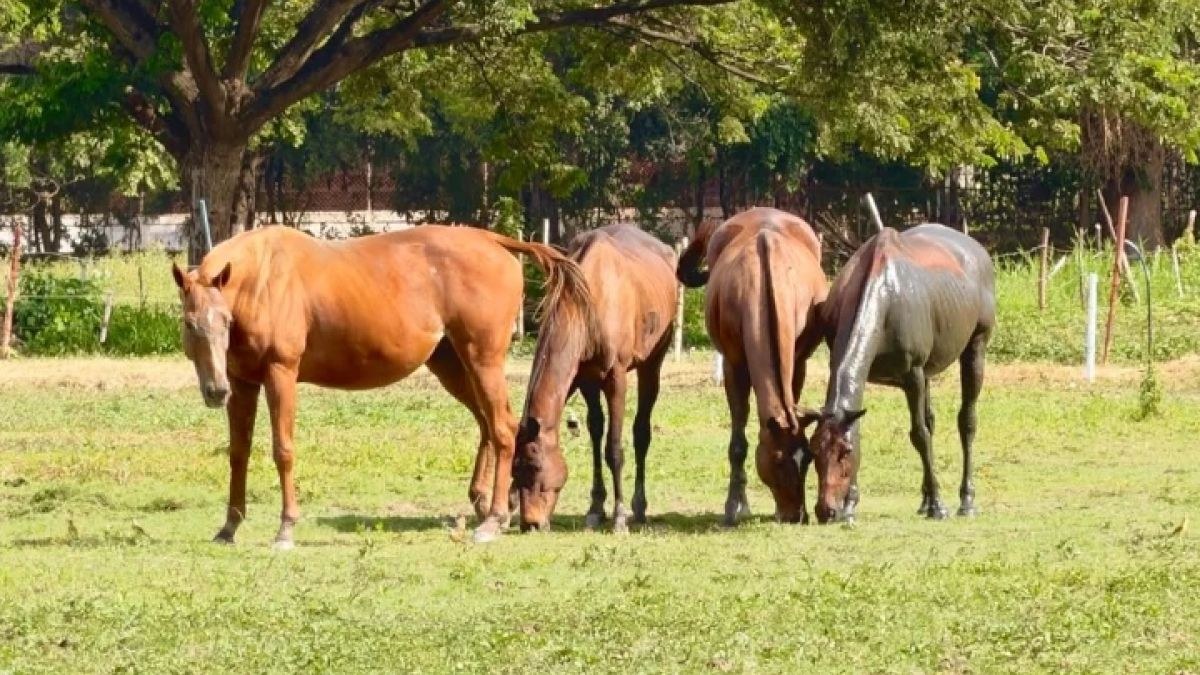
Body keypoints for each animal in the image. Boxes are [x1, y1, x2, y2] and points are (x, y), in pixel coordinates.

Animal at [170, 224, 591, 547]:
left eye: (224, 320)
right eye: (190, 323)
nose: (215, 391)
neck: (262, 278)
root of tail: (494, 241)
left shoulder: (281, 374)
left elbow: (283, 450)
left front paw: (286, 528)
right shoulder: (242, 383)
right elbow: (238, 453)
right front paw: (229, 526)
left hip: (482, 360)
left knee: (502, 430)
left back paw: (493, 520)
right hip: (452, 365)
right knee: (490, 425)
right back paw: (483, 504)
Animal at [514, 224, 678, 533]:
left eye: (536, 466)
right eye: (514, 469)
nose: (531, 523)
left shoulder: (615, 379)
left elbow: (613, 448)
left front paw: (619, 517)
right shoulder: (587, 380)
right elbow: (595, 435)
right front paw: (595, 509)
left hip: (652, 364)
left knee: (641, 432)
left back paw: (639, 507)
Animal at [677, 208, 828, 525]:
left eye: (808, 457)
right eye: (778, 461)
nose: (796, 515)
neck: (763, 283)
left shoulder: (798, 363)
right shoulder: (734, 367)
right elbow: (738, 443)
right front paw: (735, 505)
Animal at [801, 224, 995, 524]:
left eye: (846, 452)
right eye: (813, 450)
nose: (826, 511)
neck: (884, 296)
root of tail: (977, 250)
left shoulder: (912, 376)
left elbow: (919, 435)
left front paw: (939, 505)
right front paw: (850, 506)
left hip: (975, 349)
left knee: (967, 422)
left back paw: (966, 501)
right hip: (928, 373)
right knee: (932, 420)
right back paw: (925, 501)